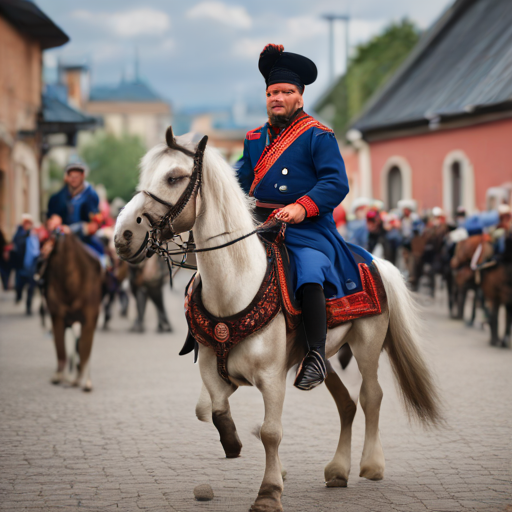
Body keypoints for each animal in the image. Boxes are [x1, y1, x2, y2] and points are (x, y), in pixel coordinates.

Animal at [44, 233, 103, 392]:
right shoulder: (58, 318)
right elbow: (62, 348)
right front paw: (61, 376)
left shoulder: (89, 321)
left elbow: (85, 349)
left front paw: (85, 381)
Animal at [114, 130, 442, 510]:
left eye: (173, 177)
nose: (123, 235)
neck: (235, 285)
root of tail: (374, 260)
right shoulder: (212, 369)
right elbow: (214, 410)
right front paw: (235, 444)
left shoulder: (272, 377)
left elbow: (271, 431)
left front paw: (269, 492)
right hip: (320, 356)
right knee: (346, 404)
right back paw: (337, 469)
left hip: (367, 346)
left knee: (370, 395)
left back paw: (371, 464)